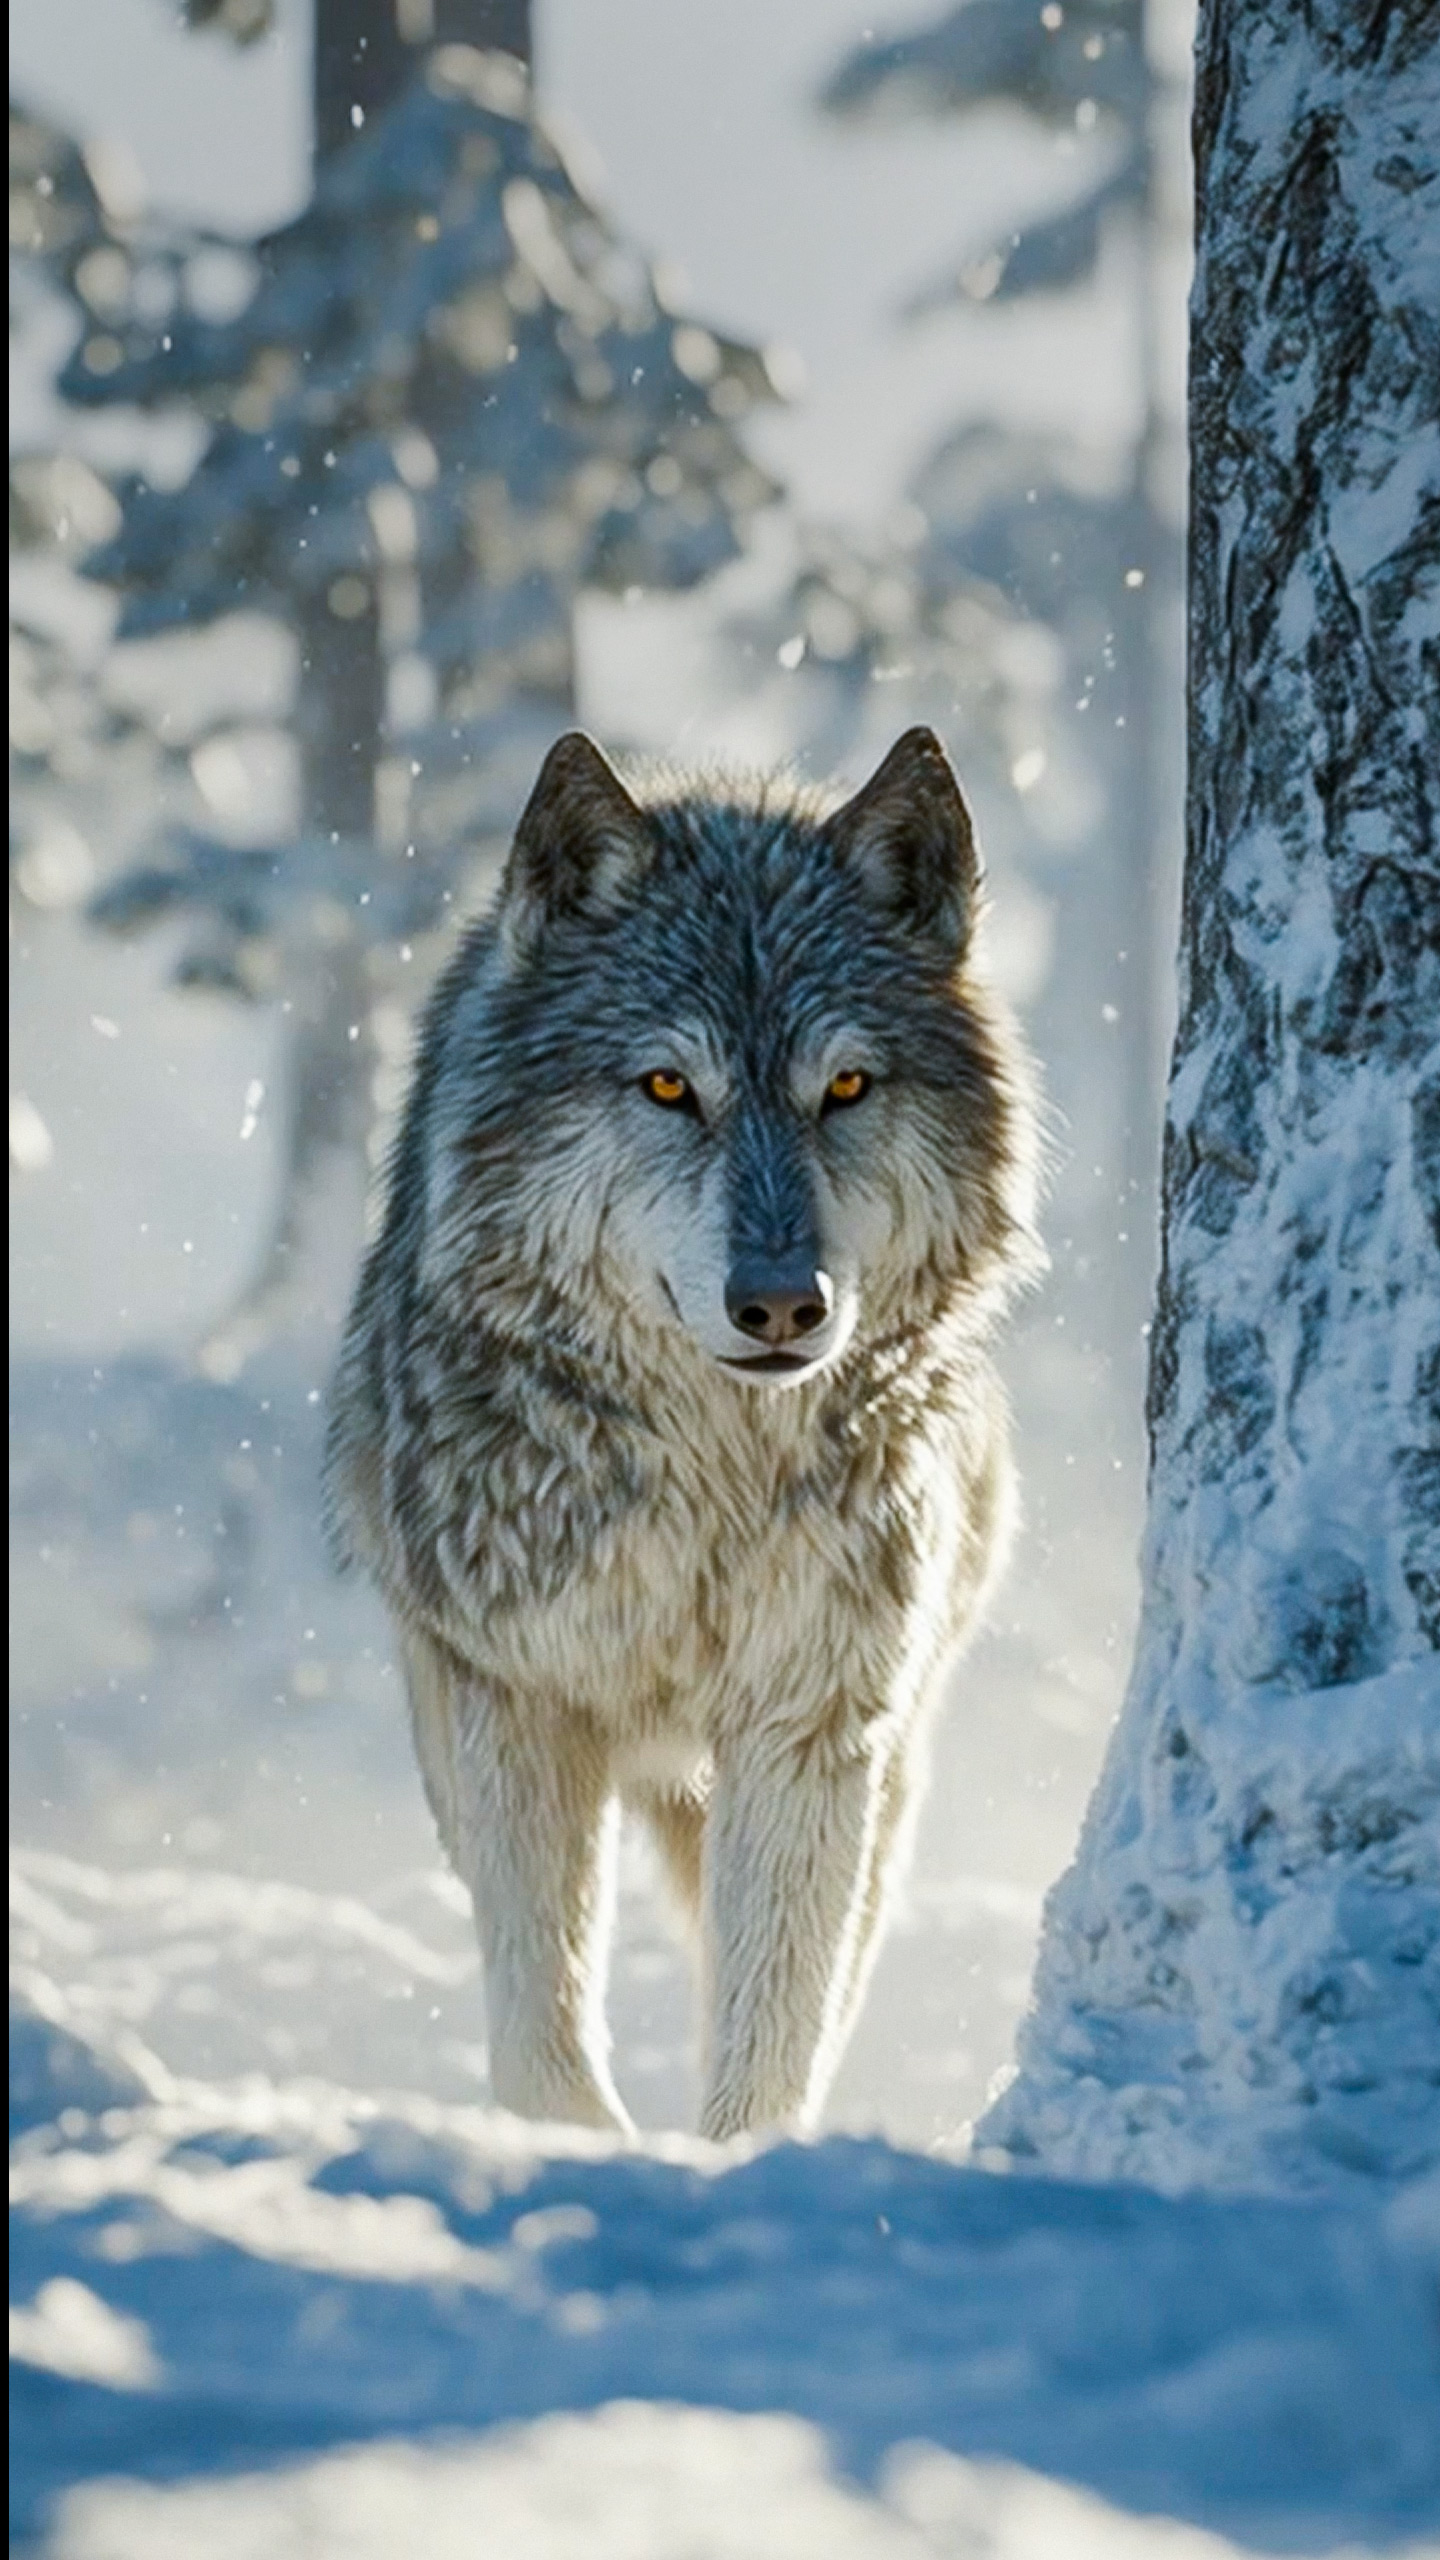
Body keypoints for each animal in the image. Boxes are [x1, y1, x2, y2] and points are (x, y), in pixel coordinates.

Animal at [325, 725, 1040, 2139]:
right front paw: (584, 2148)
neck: (717, 1477)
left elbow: (773, 2032)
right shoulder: (517, 1698)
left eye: (845, 1085)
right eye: (669, 1085)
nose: (781, 1303)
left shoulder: (813, 1722)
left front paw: (737, 2159)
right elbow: (540, 2019)